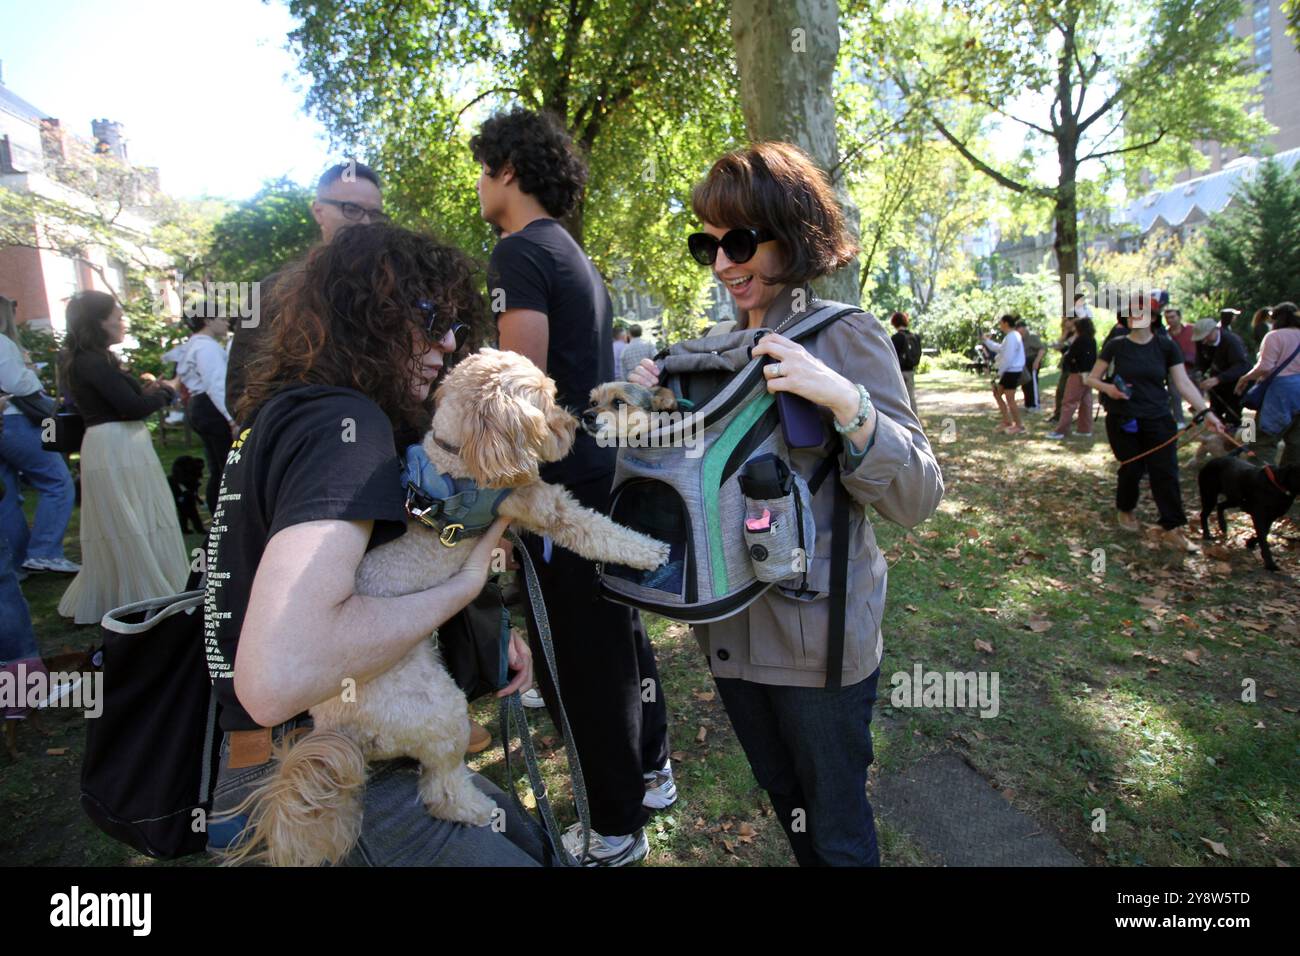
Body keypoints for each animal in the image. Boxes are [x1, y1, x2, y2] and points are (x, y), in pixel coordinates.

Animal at [217, 348, 670, 868]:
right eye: (542, 401)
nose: (577, 423)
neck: (461, 456)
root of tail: (332, 728)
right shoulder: (544, 507)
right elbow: (600, 533)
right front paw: (649, 551)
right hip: (440, 710)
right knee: (440, 789)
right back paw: (479, 809)